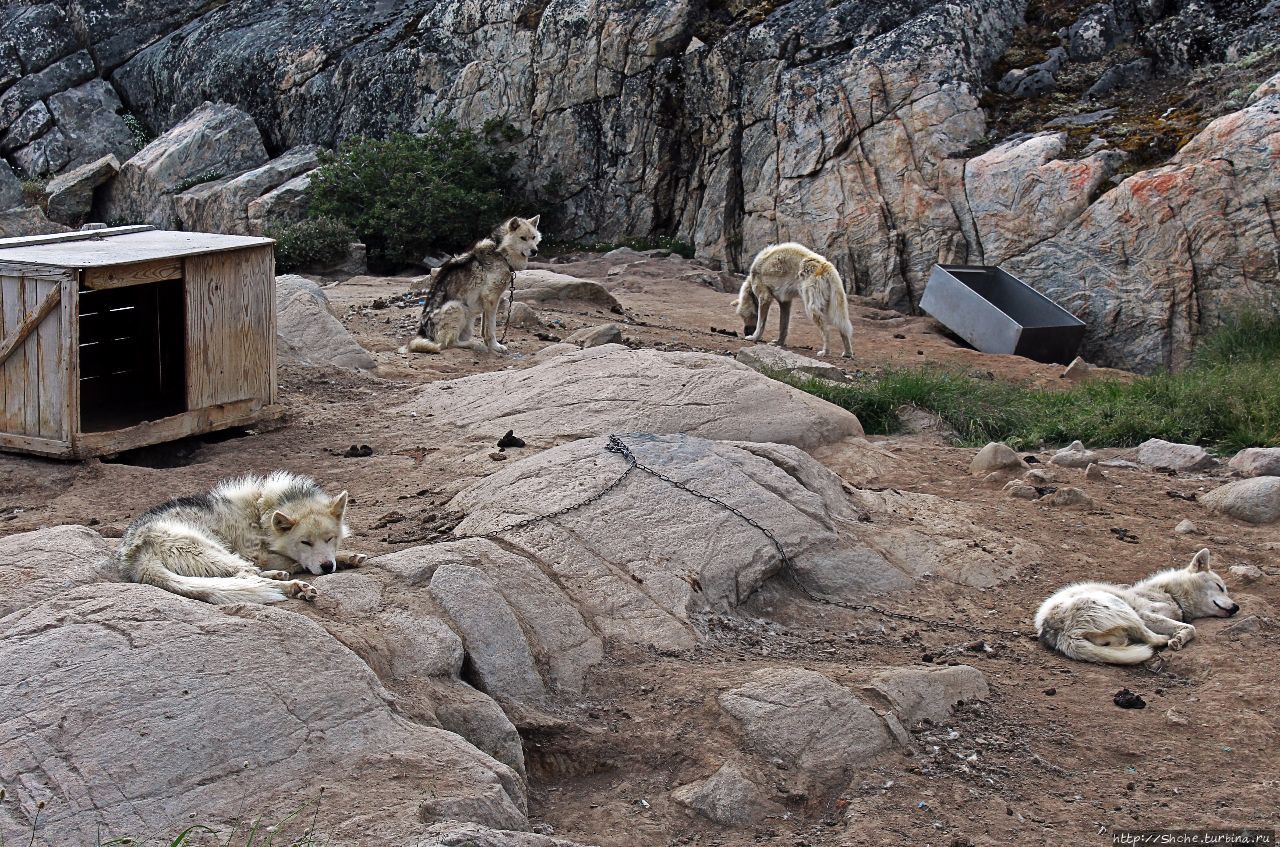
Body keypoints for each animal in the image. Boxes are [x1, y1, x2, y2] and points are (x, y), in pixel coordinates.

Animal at [117, 470, 366, 603]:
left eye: (330, 538)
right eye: (305, 542)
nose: (327, 568)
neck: (263, 511)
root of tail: (136, 556)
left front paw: (349, 557)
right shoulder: (256, 554)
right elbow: (292, 559)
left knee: (247, 575)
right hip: (212, 550)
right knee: (247, 575)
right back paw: (294, 586)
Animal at [401, 217, 537, 355]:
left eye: (533, 237)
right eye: (523, 238)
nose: (535, 251)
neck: (501, 254)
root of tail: (422, 335)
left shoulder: (487, 301)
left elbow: (484, 329)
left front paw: (489, 344)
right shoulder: (491, 298)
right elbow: (491, 328)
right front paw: (495, 346)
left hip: (468, 321)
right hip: (457, 306)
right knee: (447, 343)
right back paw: (475, 344)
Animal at [1039, 550, 1239, 670]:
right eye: (1220, 587)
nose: (1237, 607)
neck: (1169, 594)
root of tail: (1062, 634)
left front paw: (1179, 636)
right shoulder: (1147, 614)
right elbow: (1190, 627)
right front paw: (1178, 638)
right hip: (1124, 608)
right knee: (1150, 638)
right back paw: (1163, 640)